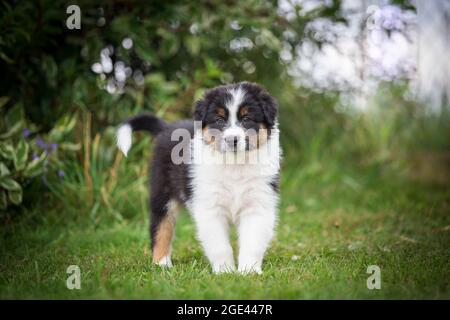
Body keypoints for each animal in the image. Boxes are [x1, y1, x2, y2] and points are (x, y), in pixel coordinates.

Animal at [116, 81, 280, 274]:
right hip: (163, 192)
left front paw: (248, 272)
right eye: (219, 120)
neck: (234, 164)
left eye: (247, 119)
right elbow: (219, 245)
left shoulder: (258, 204)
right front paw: (225, 272)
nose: (232, 140)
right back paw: (161, 264)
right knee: (160, 226)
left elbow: (252, 242)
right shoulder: (209, 207)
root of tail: (166, 128)